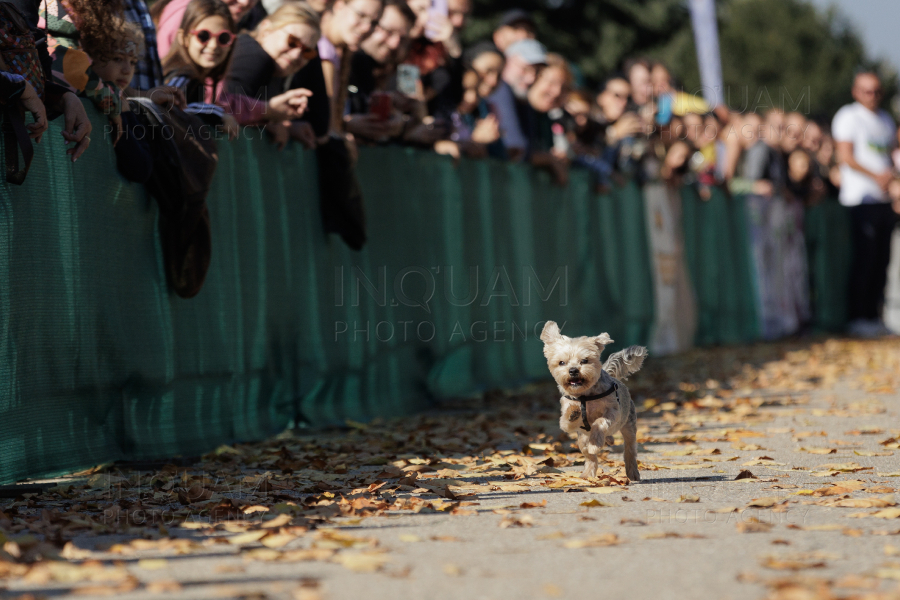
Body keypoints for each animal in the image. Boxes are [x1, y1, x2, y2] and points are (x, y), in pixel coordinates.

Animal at [540, 322, 648, 480]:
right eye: (562, 363)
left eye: (584, 360)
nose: (573, 370)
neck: (585, 396)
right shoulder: (568, 418)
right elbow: (566, 422)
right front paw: (573, 413)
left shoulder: (613, 412)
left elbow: (599, 422)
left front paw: (596, 443)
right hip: (582, 439)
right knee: (589, 455)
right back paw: (588, 474)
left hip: (629, 425)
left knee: (629, 450)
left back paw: (632, 472)